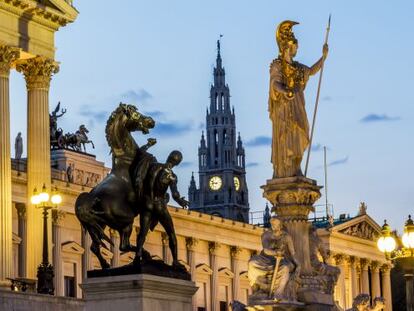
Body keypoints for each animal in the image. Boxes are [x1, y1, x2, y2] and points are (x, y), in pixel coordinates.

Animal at [75, 103, 154, 270]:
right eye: (136, 114)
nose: (151, 121)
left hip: (99, 224)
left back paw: (105, 265)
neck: (125, 161)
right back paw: (144, 256)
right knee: (124, 246)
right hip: (126, 221)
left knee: (94, 246)